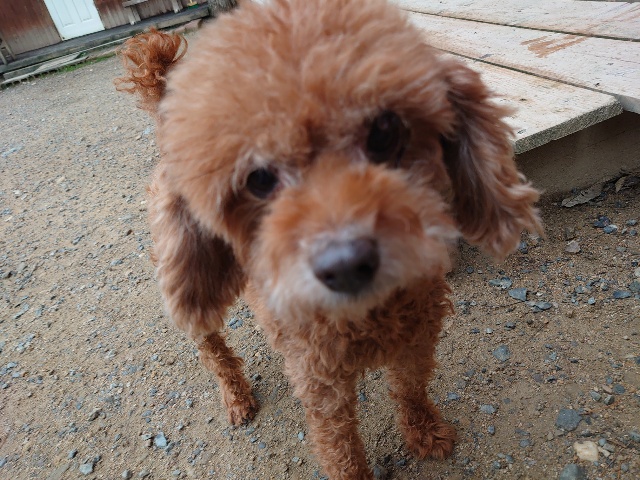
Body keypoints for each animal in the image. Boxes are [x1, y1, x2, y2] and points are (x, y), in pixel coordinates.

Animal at [116, 0, 541, 478]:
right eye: (258, 179)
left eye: (384, 131)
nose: (346, 263)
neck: (368, 316)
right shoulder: (320, 382)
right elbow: (341, 448)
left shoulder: (416, 339)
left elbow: (411, 389)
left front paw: (425, 434)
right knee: (211, 347)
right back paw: (237, 398)